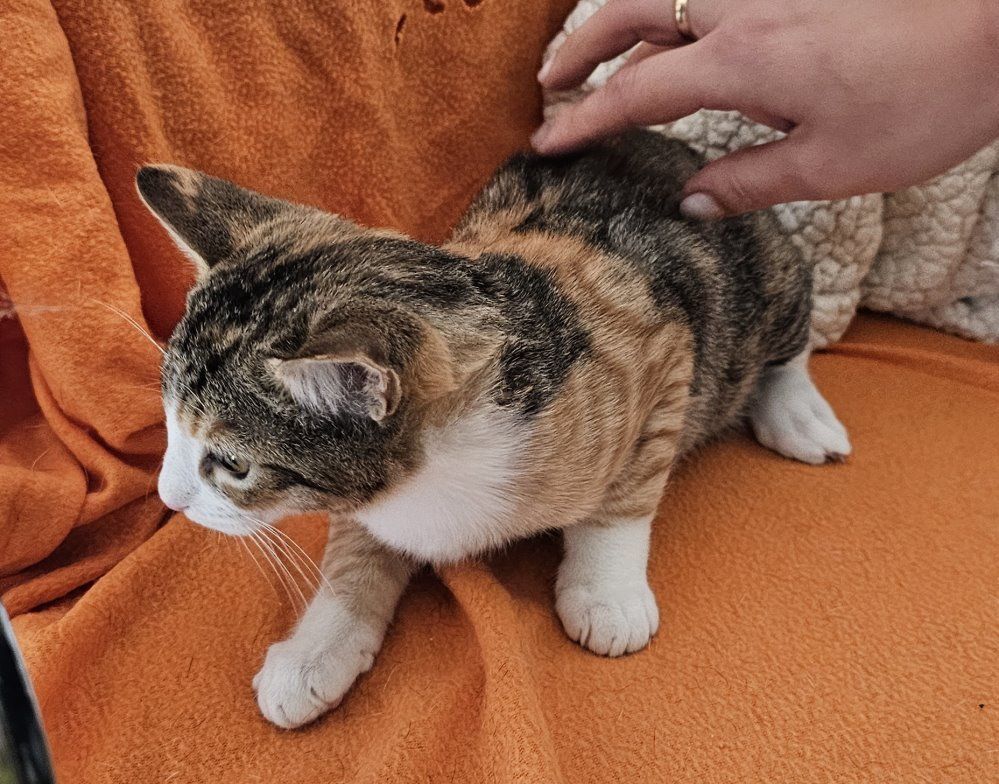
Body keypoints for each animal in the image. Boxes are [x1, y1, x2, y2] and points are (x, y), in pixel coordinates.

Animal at [137, 130, 850, 729]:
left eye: (233, 464)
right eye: (169, 423)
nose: (168, 497)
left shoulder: (663, 352)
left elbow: (627, 494)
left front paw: (607, 593)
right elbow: (356, 550)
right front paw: (317, 648)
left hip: (760, 280)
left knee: (789, 330)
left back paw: (798, 412)